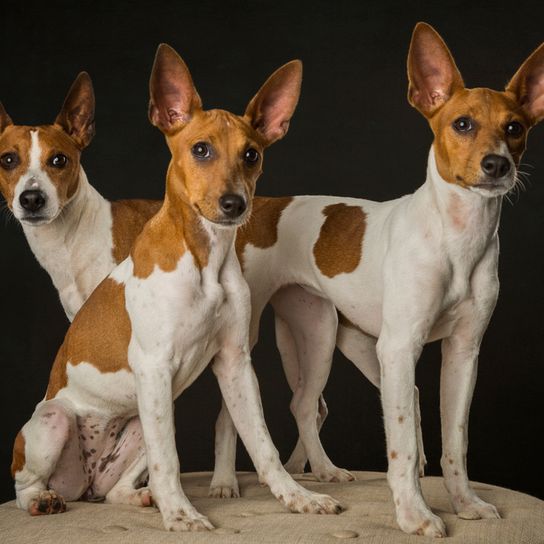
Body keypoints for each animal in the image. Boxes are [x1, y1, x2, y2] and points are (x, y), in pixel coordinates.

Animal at [9, 44, 344, 528]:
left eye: (252, 155)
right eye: (200, 149)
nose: (234, 204)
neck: (204, 258)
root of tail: (83, 482)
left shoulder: (235, 365)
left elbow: (263, 446)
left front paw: (298, 497)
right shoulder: (153, 368)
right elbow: (170, 458)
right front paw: (182, 515)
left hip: (142, 422)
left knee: (114, 491)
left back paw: (141, 497)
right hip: (58, 420)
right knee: (27, 484)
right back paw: (45, 499)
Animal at [211, 22, 544, 536]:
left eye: (516, 128)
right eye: (462, 124)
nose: (497, 165)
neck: (456, 236)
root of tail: (263, 205)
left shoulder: (462, 353)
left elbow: (455, 441)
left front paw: (465, 502)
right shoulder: (401, 347)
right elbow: (402, 445)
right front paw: (414, 514)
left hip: (332, 336)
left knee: (306, 405)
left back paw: (325, 471)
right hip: (256, 339)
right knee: (235, 414)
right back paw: (226, 482)